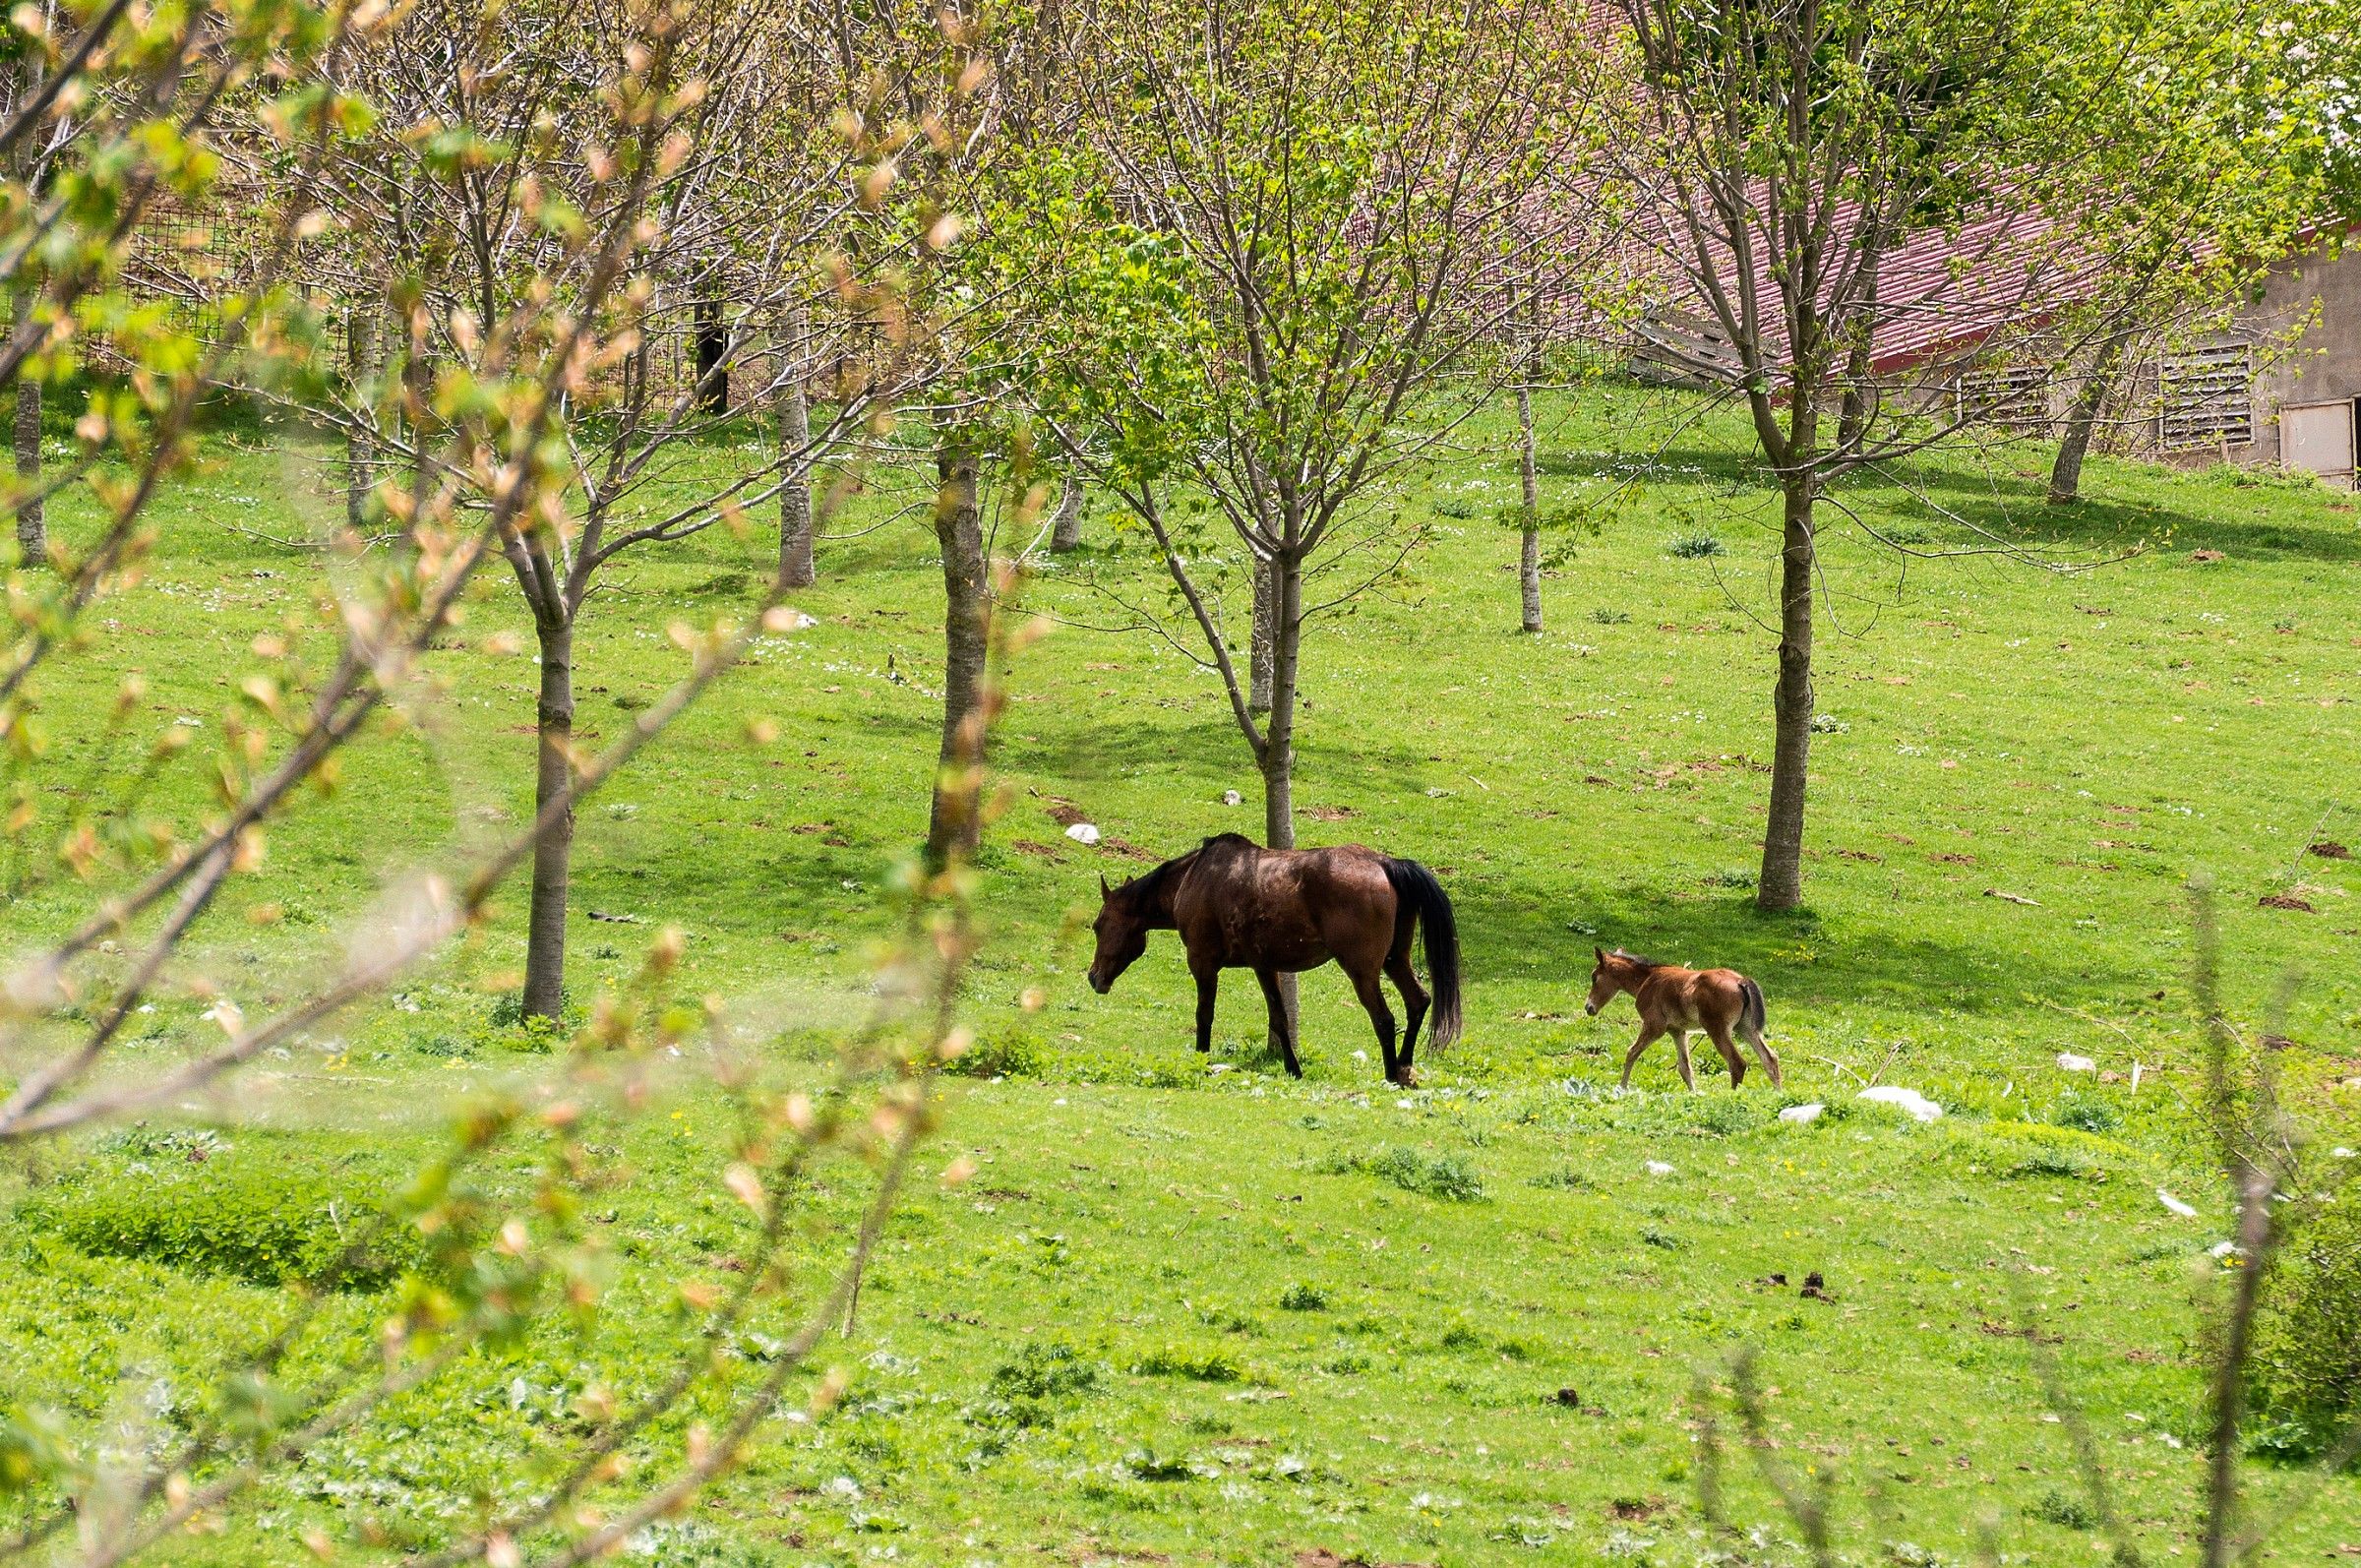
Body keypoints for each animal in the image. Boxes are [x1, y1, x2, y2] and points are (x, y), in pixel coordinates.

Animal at [1085, 833, 1462, 1087]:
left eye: (1098, 925)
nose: (1094, 977)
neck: (1193, 877)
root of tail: (1385, 864)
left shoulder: (1203, 963)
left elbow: (1204, 1016)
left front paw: (1201, 1061)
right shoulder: (1264, 967)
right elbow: (1280, 1020)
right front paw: (1293, 1069)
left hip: (1363, 971)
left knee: (1384, 1019)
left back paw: (1390, 1074)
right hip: (1394, 960)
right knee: (1418, 1002)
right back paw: (1404, 1068)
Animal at [1583, 946, 1781, 1091]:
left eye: (1594, 977)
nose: (1588, 1007)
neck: (1647, 979)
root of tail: (1741, 981)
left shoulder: (1654, 1026)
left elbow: (1632, 1052)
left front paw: (1622, 1088)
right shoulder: (1678, 1031)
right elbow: (1685, 1068)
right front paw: (1693, 1095)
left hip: (1717, 1030)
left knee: (1737, 1063)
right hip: (1746, 1029)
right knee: (1769, 1058)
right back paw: (1779, 1094)